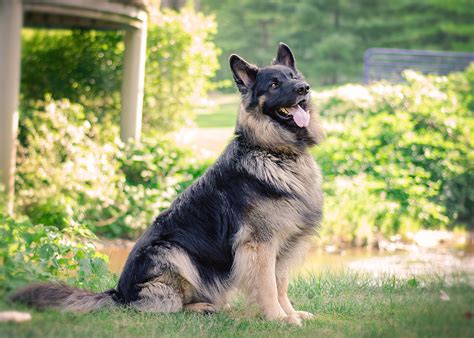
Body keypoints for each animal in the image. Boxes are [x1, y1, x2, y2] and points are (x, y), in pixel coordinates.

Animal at [10, 43, 322, 326]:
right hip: (172, 251)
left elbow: (280, 284)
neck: (274, 151)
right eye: (274, 83)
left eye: (293, 76)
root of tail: (118, 294)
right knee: (168, 304)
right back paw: (201, 308)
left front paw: (291, 313)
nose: (304, 88)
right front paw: (278, 318)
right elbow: (267, 287)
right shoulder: (259, 245)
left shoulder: (283, 245)